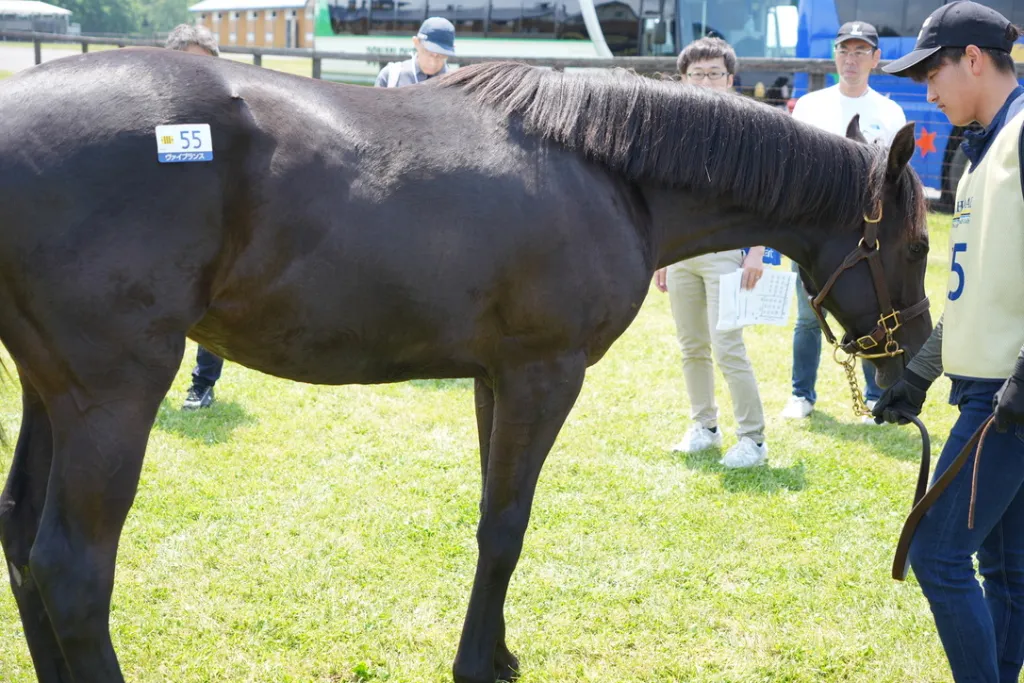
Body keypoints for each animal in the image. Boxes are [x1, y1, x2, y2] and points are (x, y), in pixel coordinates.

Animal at [0, 50, 930, 683]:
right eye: (919, 244)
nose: (910, 378)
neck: (607, 173)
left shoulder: (495, 378)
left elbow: (494, 518)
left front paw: (500, 648)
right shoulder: (543, 377)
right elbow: (507, 525)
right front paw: (479, 661)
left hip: (52, 394)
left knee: (21, 536)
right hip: (114, 396)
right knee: (73, 568)